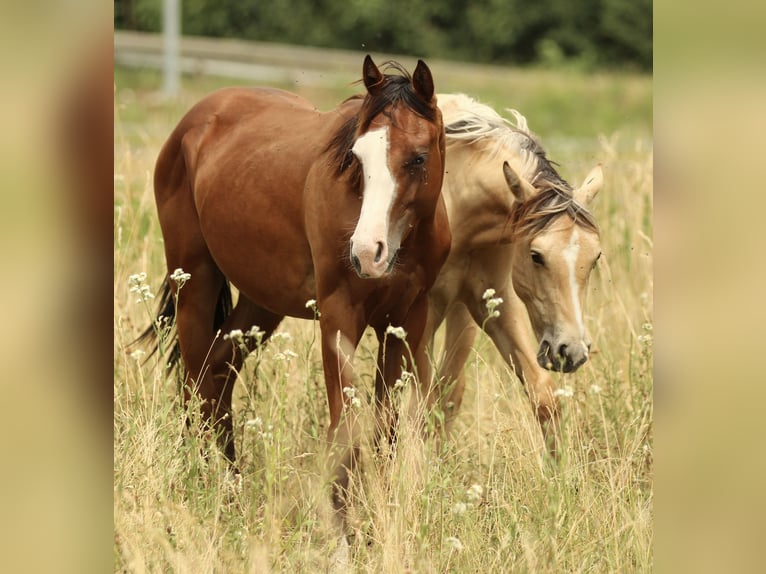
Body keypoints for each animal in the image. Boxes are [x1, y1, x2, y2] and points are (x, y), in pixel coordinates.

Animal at [140, 56, 450, 524]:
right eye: (357, 157)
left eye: (417, 158)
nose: (366, 252)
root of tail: (194, 122)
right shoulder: (339, 317)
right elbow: (346, 422)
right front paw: (345, 529)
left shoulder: (406, 323)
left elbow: (389, 426)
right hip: (193, 282)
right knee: (196, 380)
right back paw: (206, 481)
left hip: (260, 305)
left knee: (217, 371)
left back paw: (231, 485)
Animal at [428, 93, 603, 454]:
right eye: (536, 256)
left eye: (595, 257)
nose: (572, 352)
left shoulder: (493, 302)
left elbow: (543, 394)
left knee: (448, 388)